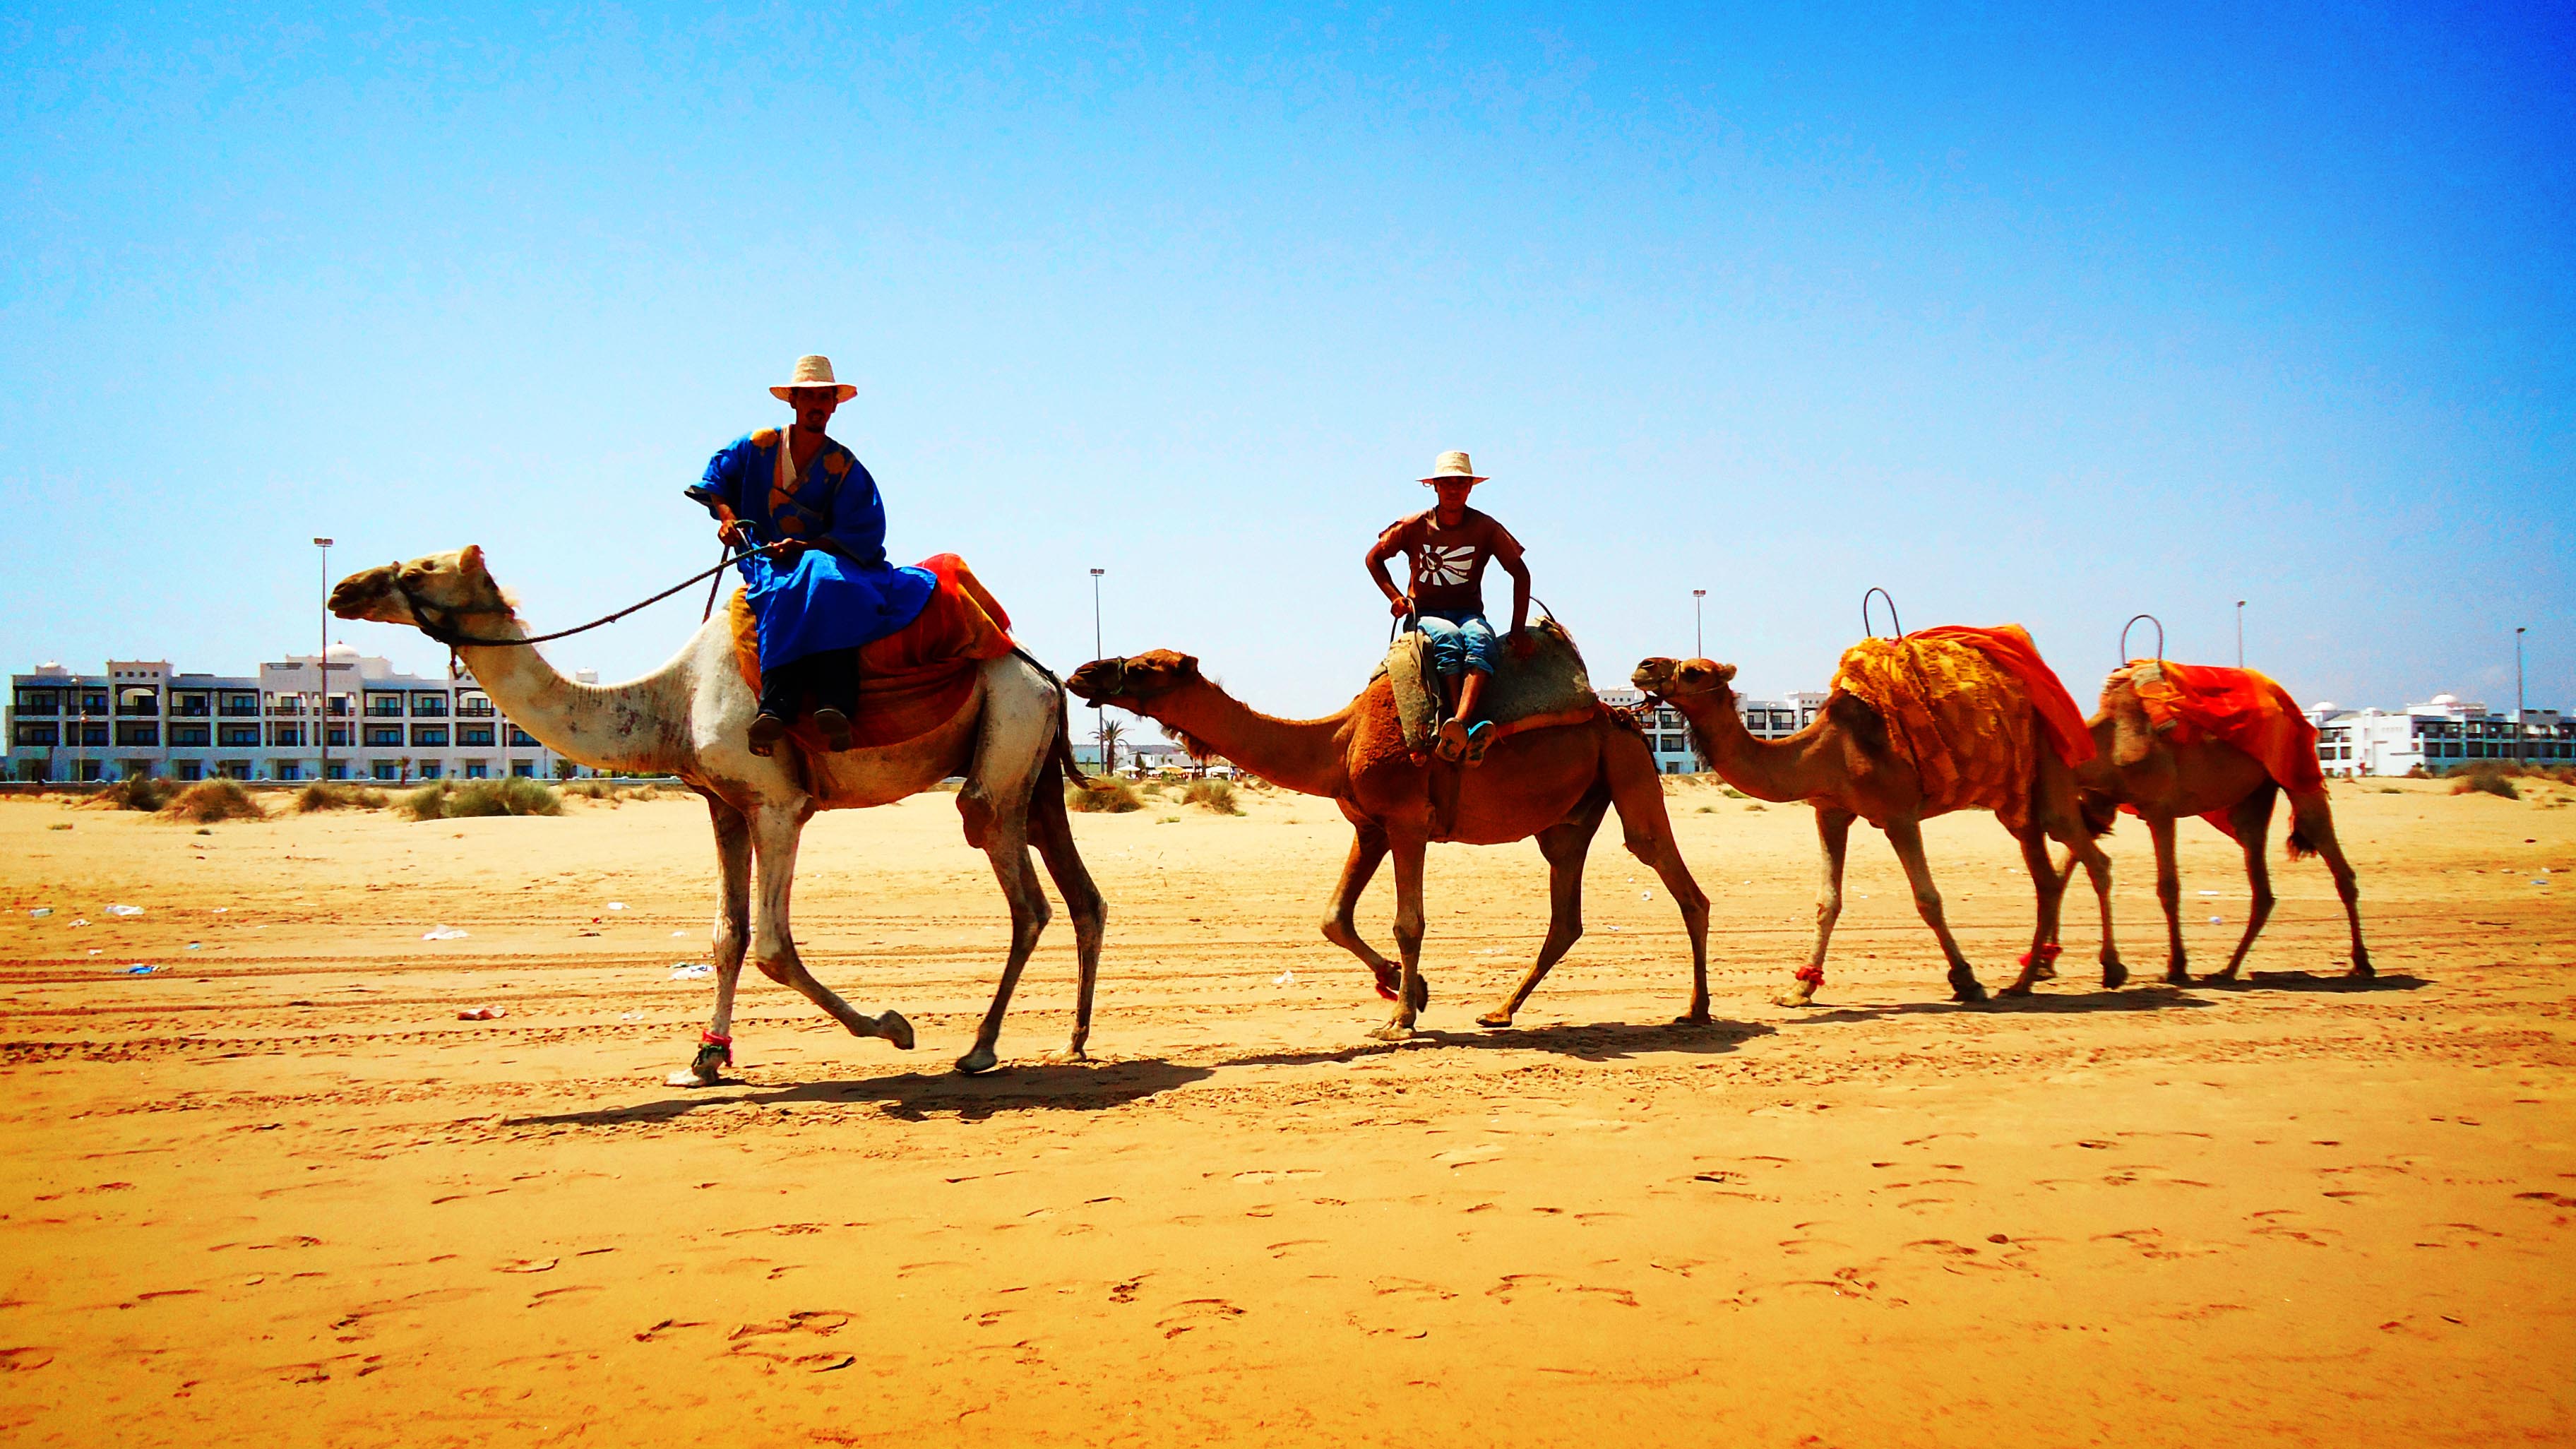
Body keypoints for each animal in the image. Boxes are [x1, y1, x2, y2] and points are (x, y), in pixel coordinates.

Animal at [327, 547, 1102, 1078]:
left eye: (419, 569)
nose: (342, 588)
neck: (671, 699)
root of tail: (1040, 671)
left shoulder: (778, 803)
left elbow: (772, 947)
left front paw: (893, 1026)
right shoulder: (723, 805)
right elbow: (728, 937)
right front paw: (706, 1056)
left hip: (1004, 745)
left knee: (1024, 893)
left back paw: (980, 1047)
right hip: (1031, 765)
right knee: (1080, 895)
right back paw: (1074, 1038)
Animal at [1056, 650, 1700, 1031]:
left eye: (1146, 666)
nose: (1083, 672)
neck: (1339, 740)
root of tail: (1625, 717)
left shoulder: (1408, 820)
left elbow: (1407, 922)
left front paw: (1402, 1018)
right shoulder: (1369, 827)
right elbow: (1333, 918)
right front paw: (1405, 986)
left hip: (1629, 770)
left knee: (1675, 878)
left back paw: (1697, 1010)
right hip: (1566, 821)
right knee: (1566, 917)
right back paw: (1499, 1010)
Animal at [1638, 655, 2122, 1005]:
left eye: (1695, 671)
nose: (1645, 665)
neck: (1825, 751)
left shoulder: (1899, 815)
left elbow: (1928, 900)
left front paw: (1966, 981)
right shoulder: (1830, 812)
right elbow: (1827, 902)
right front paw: (1799, 988)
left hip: (2050, 776)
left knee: (2093, 860)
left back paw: (2110, 968)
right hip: (2016, 804)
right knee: (2047, 880)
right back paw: (2024, 981)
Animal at [2050, 665, 2370, 979]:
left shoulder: (2159, 809)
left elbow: (2168, 887)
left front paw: (2176, 966)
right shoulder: (2100, 805)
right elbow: (2066, 869)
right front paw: (2048, 959)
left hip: (2295, 767)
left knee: (2326, 846)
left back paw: (2362, 963)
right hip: (2254, 796)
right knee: (2261, 881)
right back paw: (2228, 969)